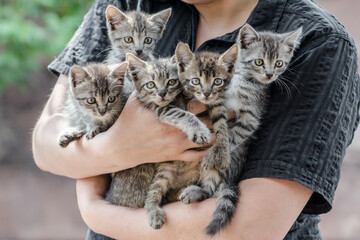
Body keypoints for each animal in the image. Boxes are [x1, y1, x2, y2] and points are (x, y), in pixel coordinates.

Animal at [204, 24, 302, 234]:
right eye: (259, 61)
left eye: (279, 63)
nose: (269, 74)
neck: (244, 79)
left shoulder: (250, 118)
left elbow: (231, 136)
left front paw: (214, 153)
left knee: (212, 188)